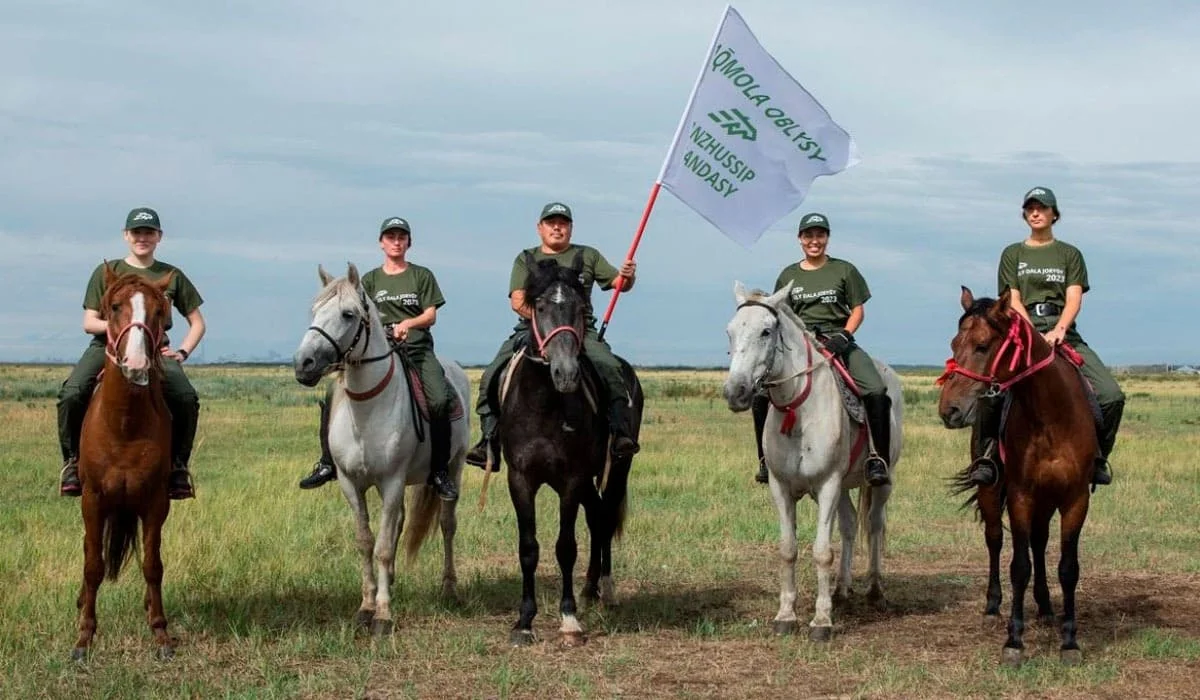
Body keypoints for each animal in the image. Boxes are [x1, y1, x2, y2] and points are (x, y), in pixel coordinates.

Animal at [73, 264, 175, 662]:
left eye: (161, 311)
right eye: (114, 307)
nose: (136, 365)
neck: (124, 424)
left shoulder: (156, 501)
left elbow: (152, 565)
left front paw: (160, 632)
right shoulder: (93, 500)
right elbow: (93, 565)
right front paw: (84, 637)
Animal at [290, 262, 468, 633]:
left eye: (348, 314)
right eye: (314, 311)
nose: (304, 363)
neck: (367, 410)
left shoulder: (392, 481)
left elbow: (384, 547)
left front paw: (383, 614)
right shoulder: (350, 483)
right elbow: (366, 542)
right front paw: (366, 606)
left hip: (454, 468)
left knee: (447, 525)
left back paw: (449, 588)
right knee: (399, 523)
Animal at [720, 282, 902, 643]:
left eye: (766, 331)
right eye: (730, 331)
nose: (736, 392)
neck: (798, 408)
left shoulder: (828, 483)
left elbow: (821, 551)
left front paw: (821, 622)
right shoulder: (782, 488)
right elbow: (788, 549)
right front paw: (786, 616)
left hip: (881, 482)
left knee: (874, 524)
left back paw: (875, 590)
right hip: (843, 487)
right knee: (850, 525)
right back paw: (842, 590)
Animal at [936, 285, 1099, 667]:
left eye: (982, 345)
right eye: (954, 343)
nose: (948, 410)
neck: (1051, 416)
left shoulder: (1075, 499)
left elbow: (1068, 567)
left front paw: (1069, 642)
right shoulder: (1021, 495)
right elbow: (1019, 566)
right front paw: (1014, 641)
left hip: (1047, 500)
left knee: (1039, 542)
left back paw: (1045, 607)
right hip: (993, 492)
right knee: (995, 540)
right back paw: (993, 607)